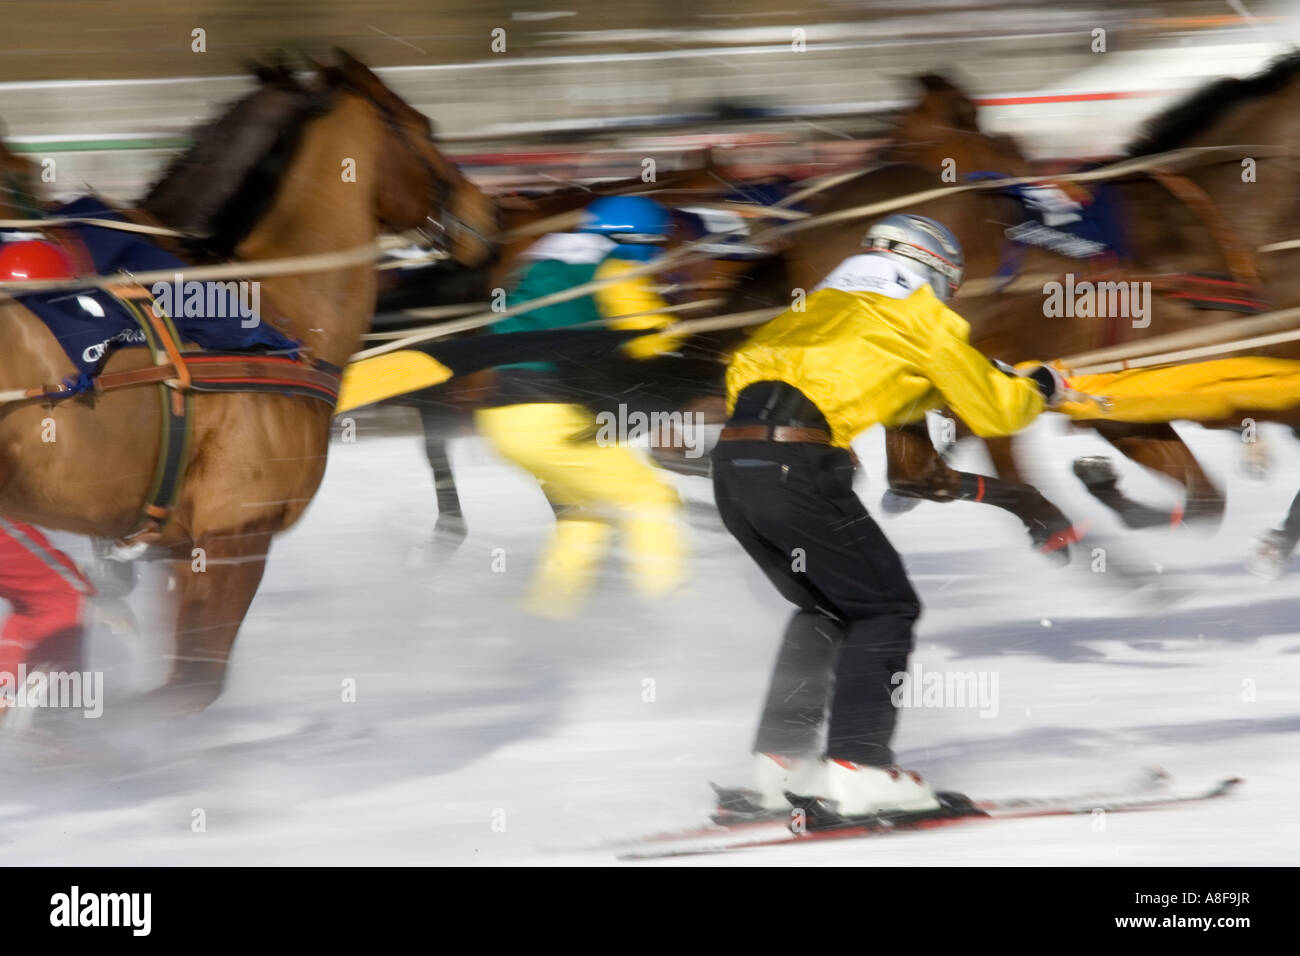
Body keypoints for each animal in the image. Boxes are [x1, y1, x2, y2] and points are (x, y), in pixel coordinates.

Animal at [0, 48, 496, 712]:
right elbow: (190, 688)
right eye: (427, 130)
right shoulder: (235, 536)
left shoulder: (173, 547)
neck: (270, 312)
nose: (486, 212)